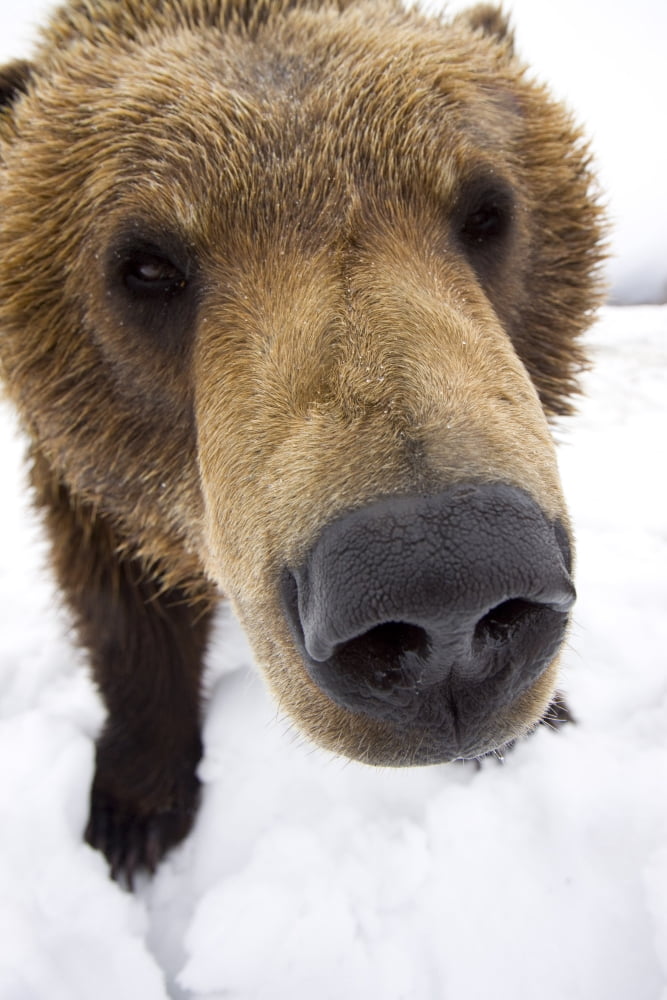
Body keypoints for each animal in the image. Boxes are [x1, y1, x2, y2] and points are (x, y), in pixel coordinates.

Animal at [0, 0, 604, 883]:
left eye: (487, 213)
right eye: (144, 265)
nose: (443, 584)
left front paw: (543, 722)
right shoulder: (83, 465)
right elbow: (117, 597)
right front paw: (133, 813)